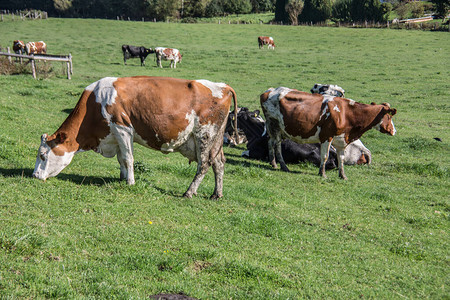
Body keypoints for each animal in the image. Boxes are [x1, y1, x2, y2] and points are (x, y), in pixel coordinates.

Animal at [32, 76, 239, 199]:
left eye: (42, 155)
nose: (34, 176)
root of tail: (223, 86)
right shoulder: (114, 135)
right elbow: (121, 159)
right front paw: (122, 178)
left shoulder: (122, 128)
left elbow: (128, 158)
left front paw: (130, 182)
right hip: (216, 139)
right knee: (219, 163)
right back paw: (216, 194)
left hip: (204, 134)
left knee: (204, 165)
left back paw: (189, 192)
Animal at [260, 88, 398, 179]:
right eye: (389, 117)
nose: (394, 131)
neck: (347, 113)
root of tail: (269, 91)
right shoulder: (327, 137)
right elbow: (325, 156)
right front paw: (322, 173)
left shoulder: (341, 140)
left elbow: (341, 158)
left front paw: (342, 175)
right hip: (275, 125)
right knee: (277, 146)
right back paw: (283, 166)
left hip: (276, 129)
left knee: (270, 142)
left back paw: (274, 164)